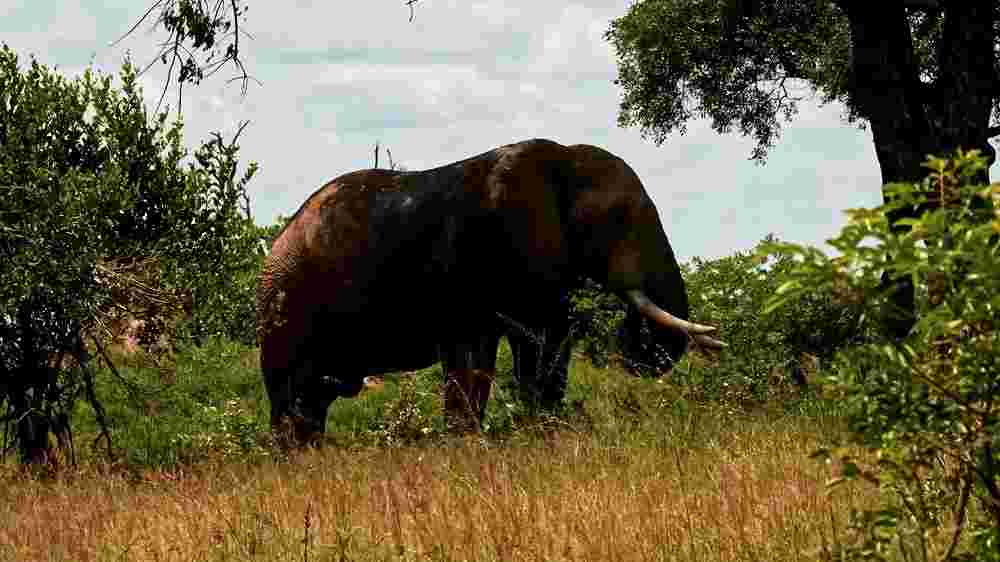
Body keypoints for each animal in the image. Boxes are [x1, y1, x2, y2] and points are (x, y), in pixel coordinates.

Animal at [256, 138, 725, 445]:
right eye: (618, 217)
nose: (634, 343)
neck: (563, 161)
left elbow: (546, 347)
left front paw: (544, 433)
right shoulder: (480, 261)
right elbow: (473, 357)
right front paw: (468, 445)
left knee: (314, 398)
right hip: (286, 306)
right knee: (292, 394)